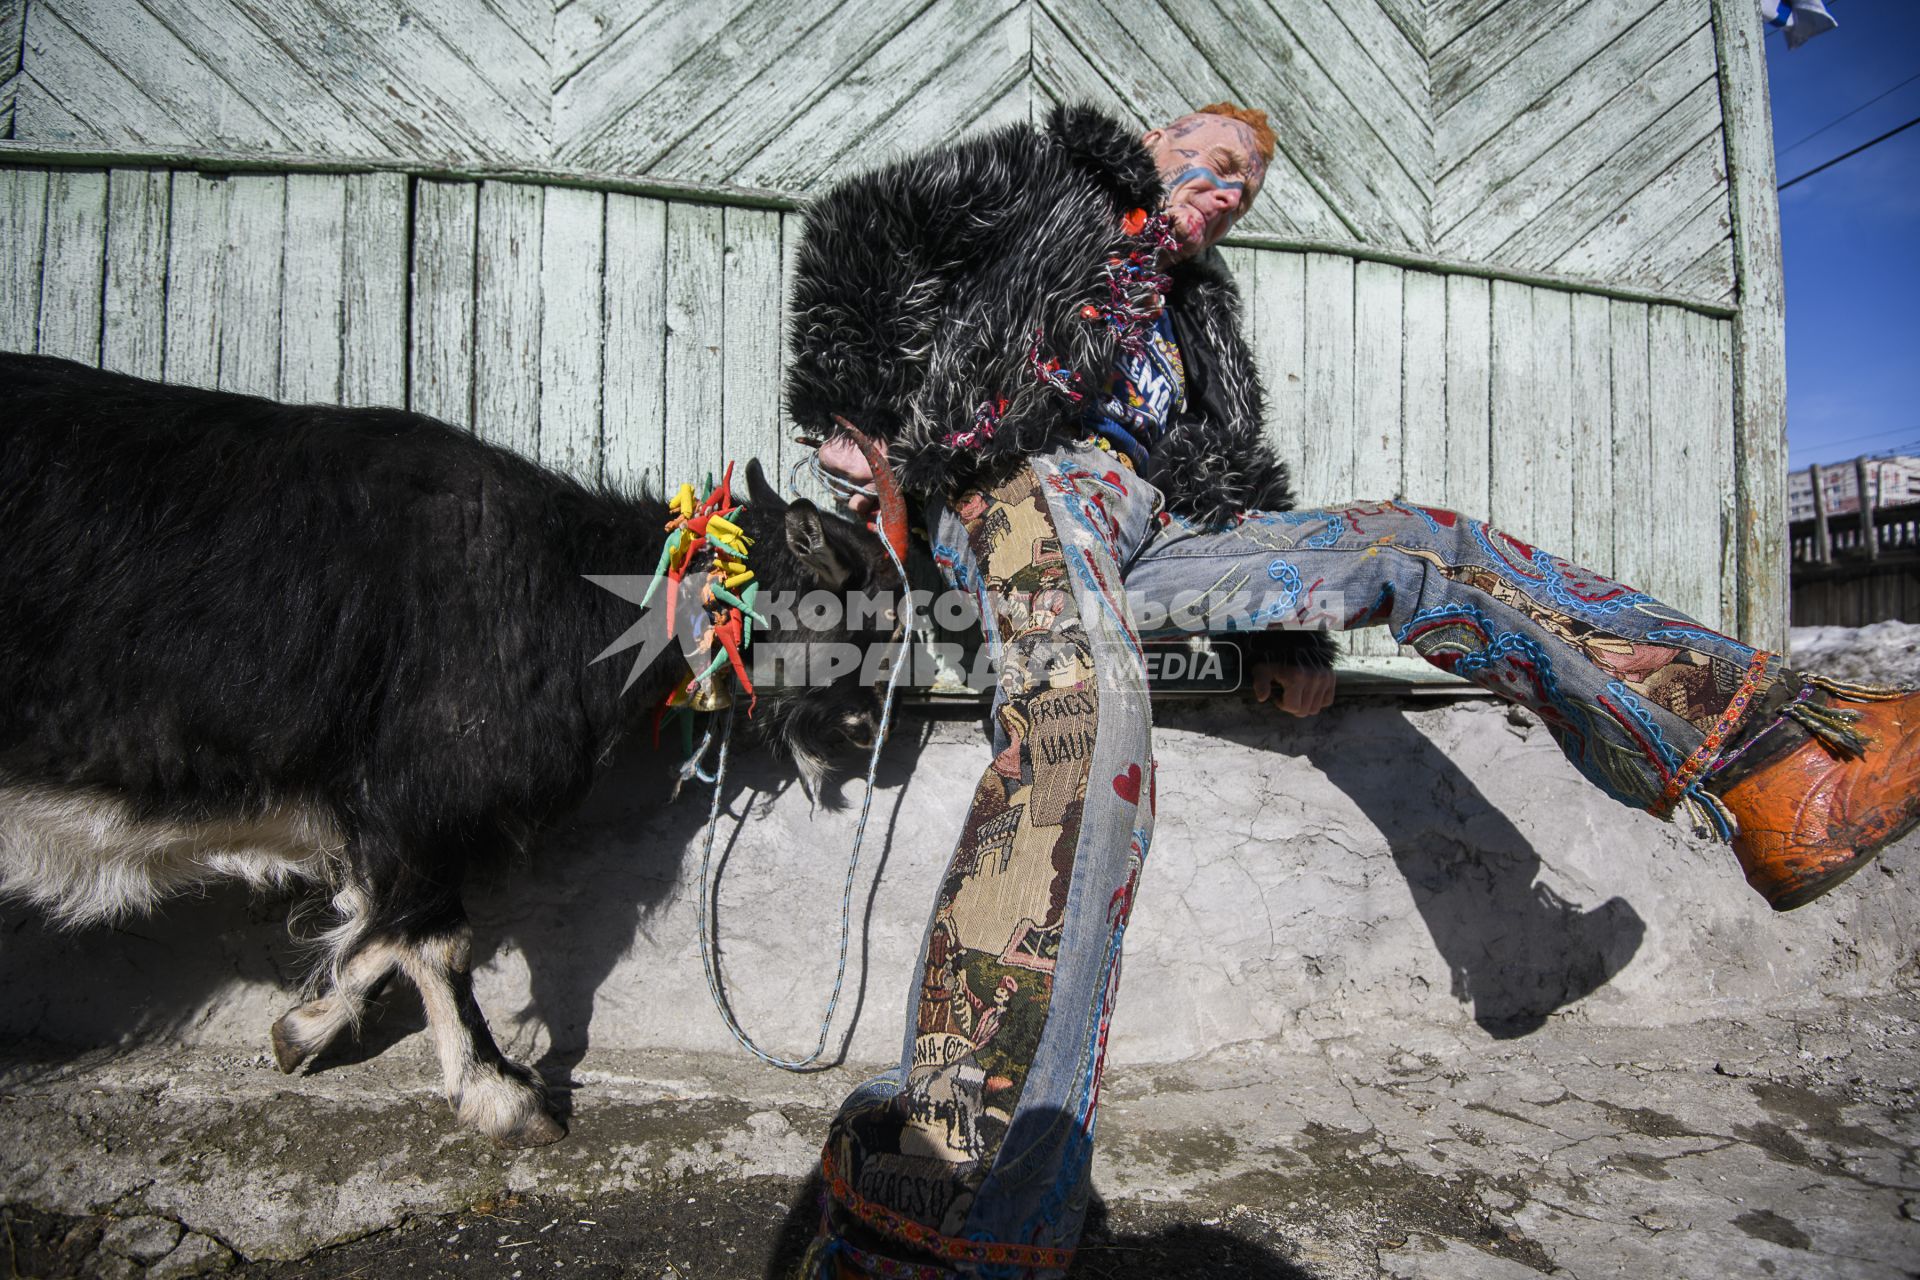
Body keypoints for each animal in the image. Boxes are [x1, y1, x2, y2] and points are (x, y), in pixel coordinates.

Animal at [0, 353, 894, 1151]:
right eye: (868, 611)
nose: (869, 725)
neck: (564, 586)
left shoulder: (394, 816)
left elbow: (377, 932)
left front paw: (301, 1030)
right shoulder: (425, 791)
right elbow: (432, 939)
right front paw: (501, 1094)